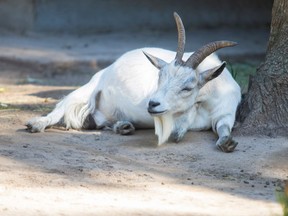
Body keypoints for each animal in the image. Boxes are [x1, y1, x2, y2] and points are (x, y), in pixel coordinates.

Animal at [26, 12, 241, 153]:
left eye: (187, 88)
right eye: (159, 78)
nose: (152, 104)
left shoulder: (225, 112)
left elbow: (222, 127)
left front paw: (227, 142)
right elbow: (178, 128)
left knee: (100, 122)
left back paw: (122, 126)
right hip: (87, 89)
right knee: (60, 108)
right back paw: (35, 124)